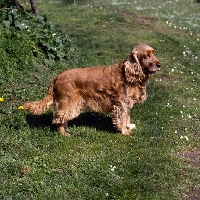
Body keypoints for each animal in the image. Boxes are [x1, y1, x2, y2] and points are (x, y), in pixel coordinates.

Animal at [23, 44, 161, 137]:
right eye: (146, 56)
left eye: (154, 53)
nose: (159, 64)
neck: (128, 74)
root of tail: (56, 78)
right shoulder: (121, 104)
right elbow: (122, 118)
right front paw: (124, 131)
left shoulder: (127, 105)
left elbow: (127, 117)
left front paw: (129, 126)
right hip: (69, 104)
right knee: (57, 119)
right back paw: (63, 133)